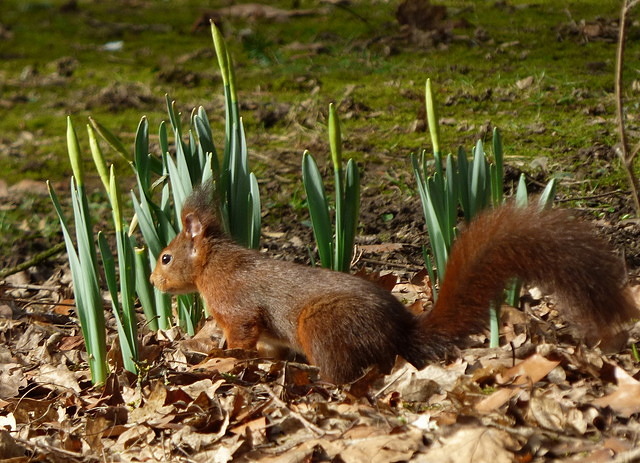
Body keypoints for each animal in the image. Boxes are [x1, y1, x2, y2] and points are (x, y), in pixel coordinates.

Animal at [150, 184, 638, 384]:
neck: (213, 264)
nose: (153, 281)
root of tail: (401, 335)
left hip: (321, 327)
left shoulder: (239, 309)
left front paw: (224, 358)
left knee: (347, 372)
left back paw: (318, 376)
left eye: (166, 256)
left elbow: (242, 335)